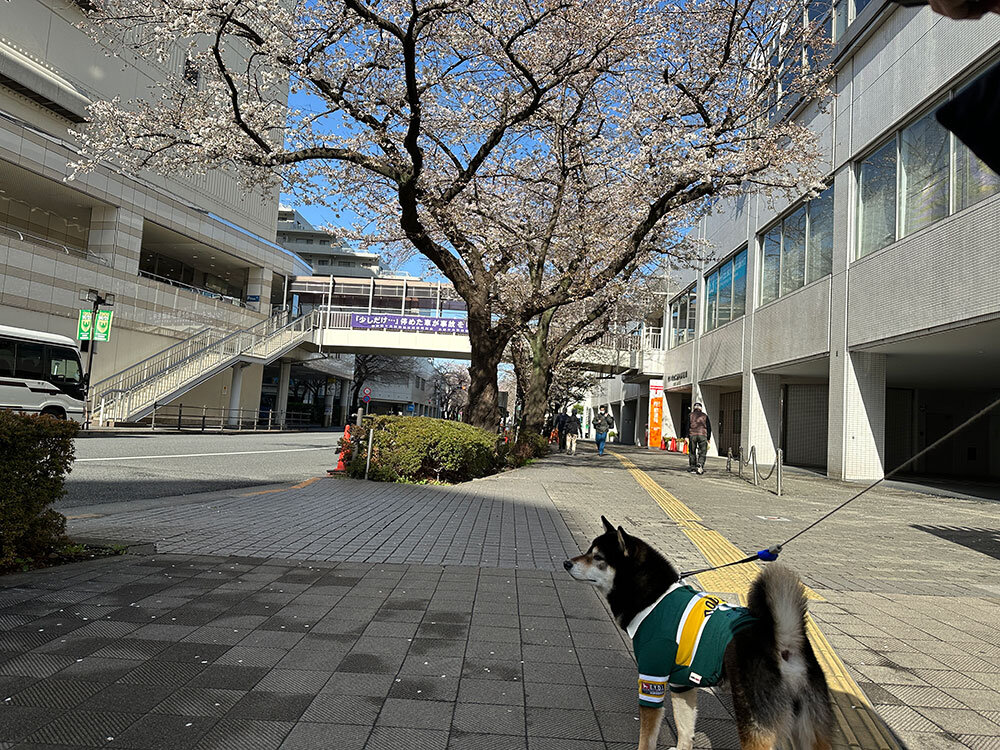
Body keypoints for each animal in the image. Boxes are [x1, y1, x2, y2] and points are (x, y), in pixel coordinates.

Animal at [564, 520, 836, 750]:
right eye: (588, 550)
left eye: (597, 557)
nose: (567, 563)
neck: (654, 597)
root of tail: (784, 643)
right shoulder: (681, 683)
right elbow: (685, 729)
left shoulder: (653, 680)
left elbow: (647, 738)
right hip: (810, 727)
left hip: (755, 720)